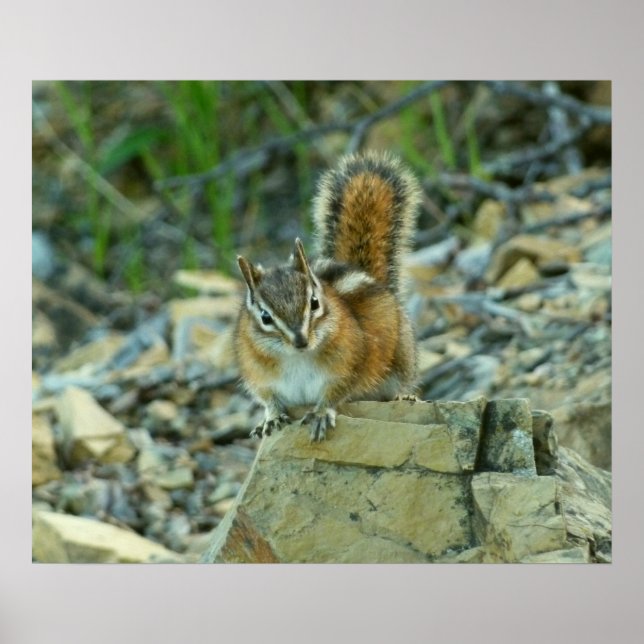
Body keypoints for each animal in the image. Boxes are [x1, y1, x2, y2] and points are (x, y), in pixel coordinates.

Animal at [235, 151, 421, 441]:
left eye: (314, 303)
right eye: (265, 317)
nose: (300, 341)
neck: (296, 358)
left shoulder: (349, 365)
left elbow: (335, 393)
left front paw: (321, 413)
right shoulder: (259, 375)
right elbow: (268, 399)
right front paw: (271, 417)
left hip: (402, 358)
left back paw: (404, 397)